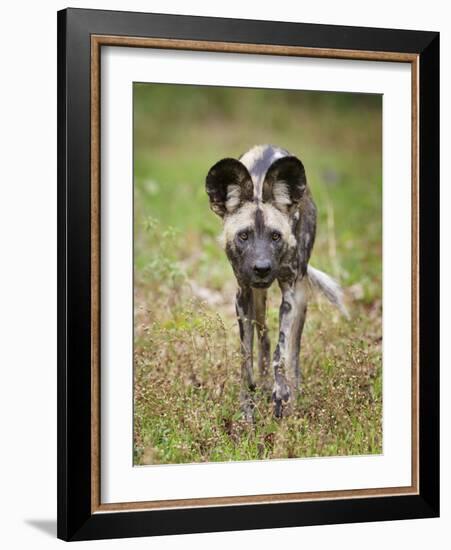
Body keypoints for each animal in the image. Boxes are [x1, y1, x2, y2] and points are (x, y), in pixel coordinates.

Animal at [207, 144, 348, 420]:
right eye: (243, 236)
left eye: (275, 236)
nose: (262, 268)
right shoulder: (243, 293)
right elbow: (246, 356)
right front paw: (248, 404)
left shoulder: (291, 291)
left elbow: (280, 353)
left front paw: (280, 393)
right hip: (258, 298)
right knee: (263, 336)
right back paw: (263, 385)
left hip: (300, 296)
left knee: (292, 351)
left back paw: (292, 398)